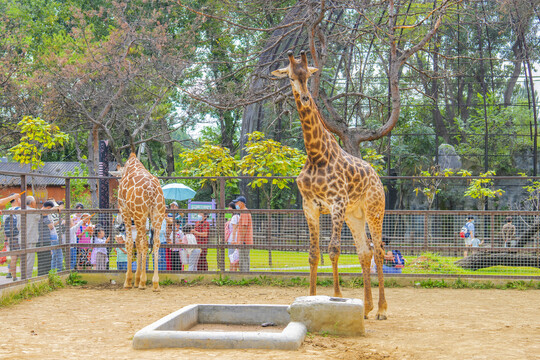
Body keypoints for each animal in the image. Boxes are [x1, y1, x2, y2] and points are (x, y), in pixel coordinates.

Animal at [117, 153, 167, 292]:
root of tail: (151, 191)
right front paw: (137, 279)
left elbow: (130, 242)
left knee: (145, 242)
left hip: (141, 215)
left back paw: (143, 282)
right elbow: (137, 242)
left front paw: (129, 281)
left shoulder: (125, 211)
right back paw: (155, 283)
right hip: (157, 214)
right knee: (155, 242)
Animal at [274, 50, 388, 318]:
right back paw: (366, 307)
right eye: (291, 77)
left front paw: (336, 296)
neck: (316, 155)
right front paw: (310, 297)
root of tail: (377, 176)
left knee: (379, 252)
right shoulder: (310, 206)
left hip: (374, 210)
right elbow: (313, 254)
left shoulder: (336, 202)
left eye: (308, 76)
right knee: (364, 252)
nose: (306, 97)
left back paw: (381, 309)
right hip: (354, 215)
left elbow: (334, 249)